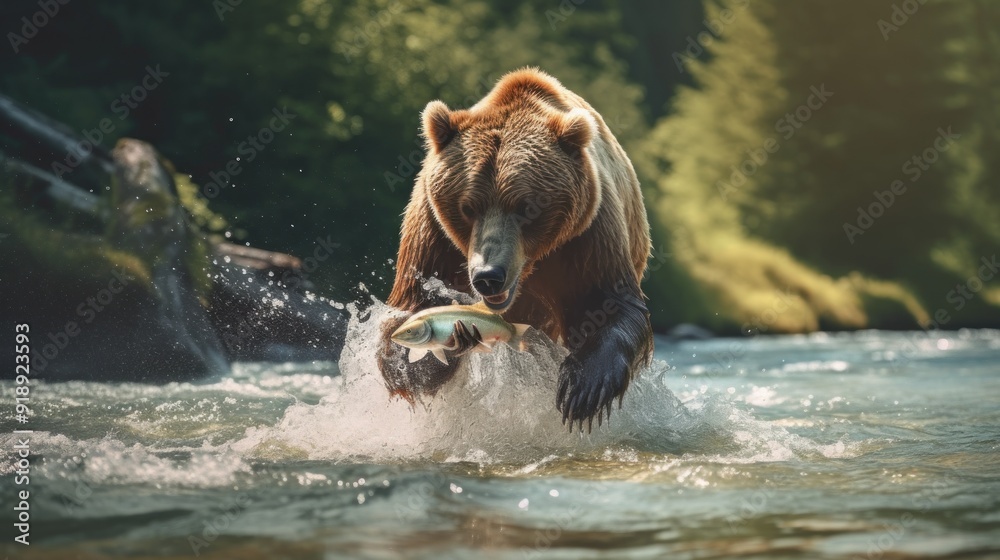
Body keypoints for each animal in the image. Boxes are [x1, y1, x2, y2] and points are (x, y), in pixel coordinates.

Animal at [378, 68, 653, 431]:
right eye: (468, 207)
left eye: (527, 207)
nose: (488, 276)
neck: (532, 267)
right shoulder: (435, 235)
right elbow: (409, 311)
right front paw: (443, 343)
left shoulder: (587, 236)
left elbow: (610, 305)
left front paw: (583, 390)